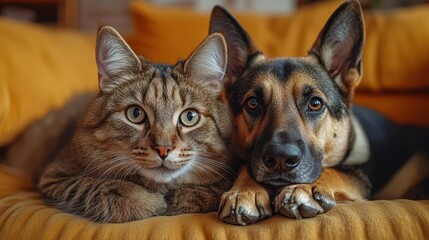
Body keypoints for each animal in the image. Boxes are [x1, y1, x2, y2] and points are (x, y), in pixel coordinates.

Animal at [35, 26, 236, 223]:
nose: (163, 149)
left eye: (190, 117)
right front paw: (152, 202)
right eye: (135, 114)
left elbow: (207, 193)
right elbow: (107, 188)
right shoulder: (54, 176)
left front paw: (177, 199)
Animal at [210, 0, 428, 225]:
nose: (280, 159)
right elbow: (245, 166)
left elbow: (334, 170)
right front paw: (244, 191)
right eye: (253, 103)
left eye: (315, 103)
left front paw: (305, 188)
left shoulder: (359, 178)